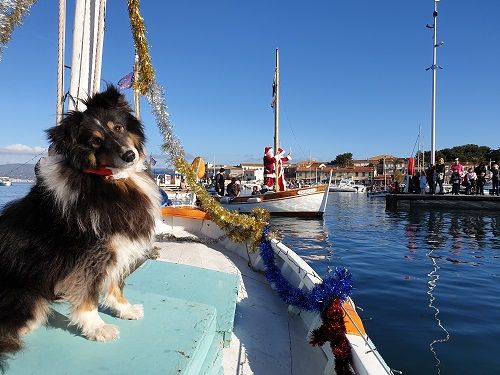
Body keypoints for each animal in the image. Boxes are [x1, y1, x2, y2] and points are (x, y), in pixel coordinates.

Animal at [0, 85, 160, 362]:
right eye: (95, 141)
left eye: (118, 127)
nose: (129, 155)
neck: (110, 180)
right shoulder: (89, 254)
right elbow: (88, 292)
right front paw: (97, 327)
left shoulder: (116, 247)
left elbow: (115, 283)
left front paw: (125, 309)